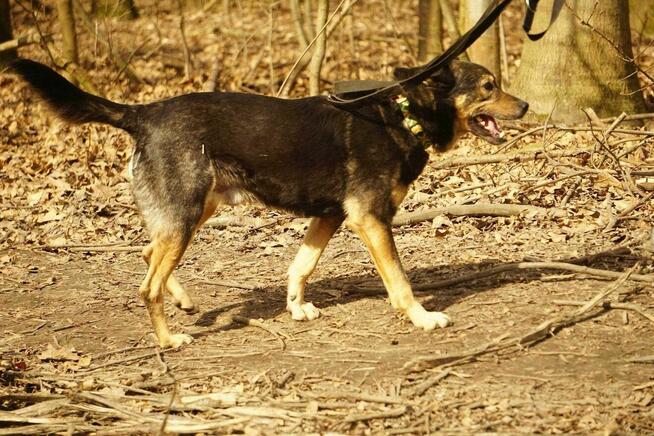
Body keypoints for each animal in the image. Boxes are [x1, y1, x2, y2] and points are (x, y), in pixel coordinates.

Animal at [10, 59, 532, 350]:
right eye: (488, 86)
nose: (526, 106)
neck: (402, 116)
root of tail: (143, 113)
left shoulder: (330, 216)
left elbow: (300, 266)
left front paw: (296, 308)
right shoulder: (370, 219)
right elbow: (400, 283)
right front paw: (423, 318)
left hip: (196, 210)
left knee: (148, 253)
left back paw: (181, 299)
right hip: (187, 213)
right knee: (147, 284)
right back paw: (168, 338)